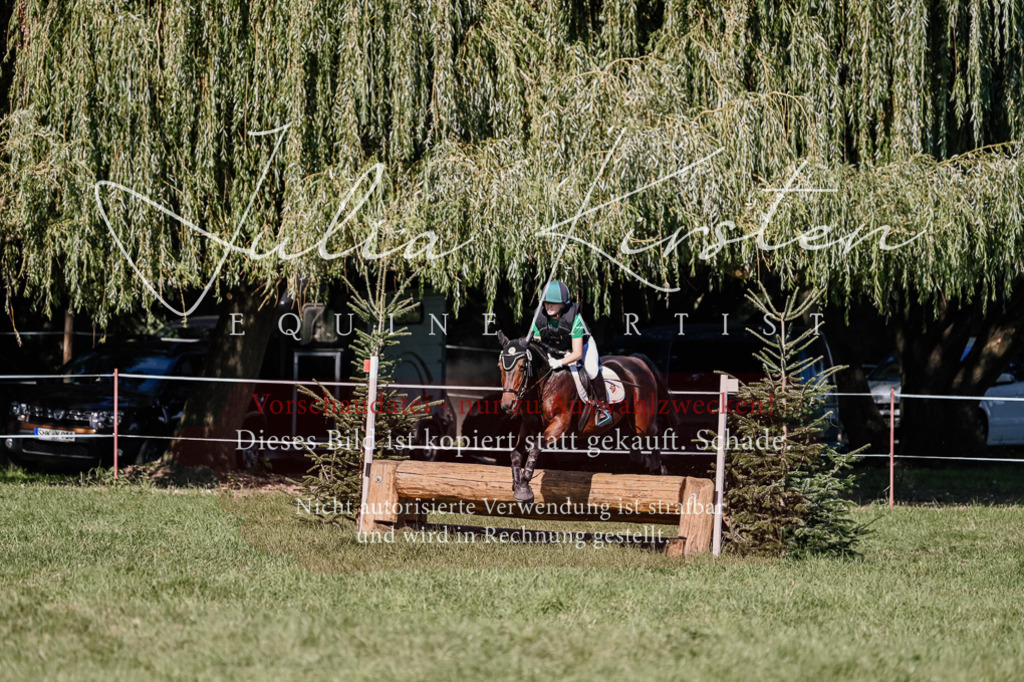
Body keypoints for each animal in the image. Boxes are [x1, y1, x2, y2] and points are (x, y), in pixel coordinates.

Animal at [496, 330, 679, 503]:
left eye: (522, 366)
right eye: (500, 366)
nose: (507, 405)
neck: (546, 383)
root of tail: (637, 360)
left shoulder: (559, 425)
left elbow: (534, 448)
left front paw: (524, 490)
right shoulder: (528, 426)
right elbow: (515, 453)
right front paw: (517, 483)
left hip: (642, 420)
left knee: (656, 428)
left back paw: (658, 467)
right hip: (628, 422)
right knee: (636, 449)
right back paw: (644, 463)